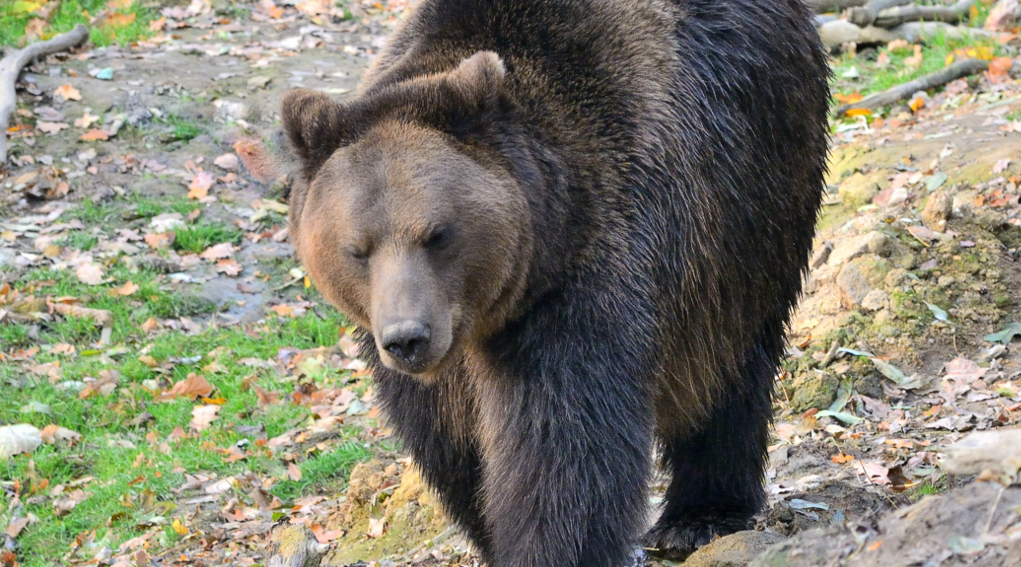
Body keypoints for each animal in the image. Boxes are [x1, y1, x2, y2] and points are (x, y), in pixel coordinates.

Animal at [280, 0, 830, 565]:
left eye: (437, 234)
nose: (408, 338)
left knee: (730, 358)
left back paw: (700, 516)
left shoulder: (584, 278)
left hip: (750, 191)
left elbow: (562, 444)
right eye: (357, 249)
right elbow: (452, 441)